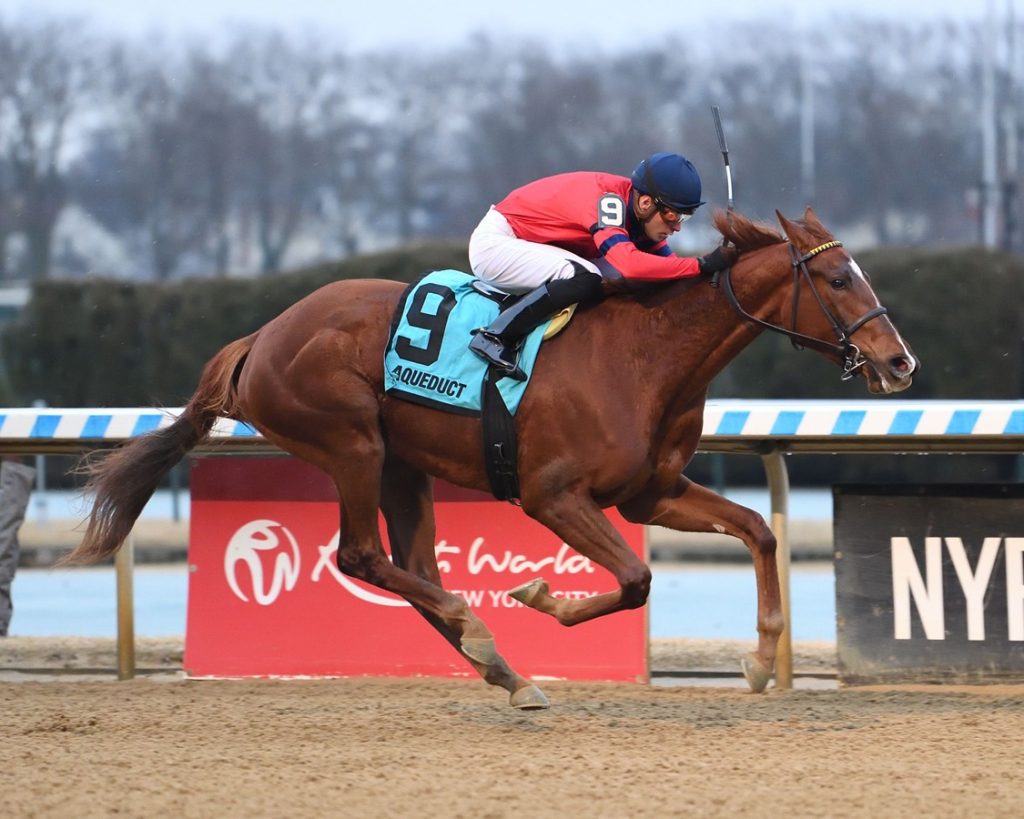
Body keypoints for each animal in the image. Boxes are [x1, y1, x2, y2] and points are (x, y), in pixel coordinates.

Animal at [72, 207, 921, 708]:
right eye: (838, 277)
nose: (900, 362)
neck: (647, 355)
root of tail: (262, 336)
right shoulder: (553, 494)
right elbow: (636, 578)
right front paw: (542, 596)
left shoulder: (650, 491)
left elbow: (759, 529)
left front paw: (760, 658)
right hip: (350, 441)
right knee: (360, 554)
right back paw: (481, 633)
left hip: (402, 464)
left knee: (410, 563)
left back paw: (501, 667)